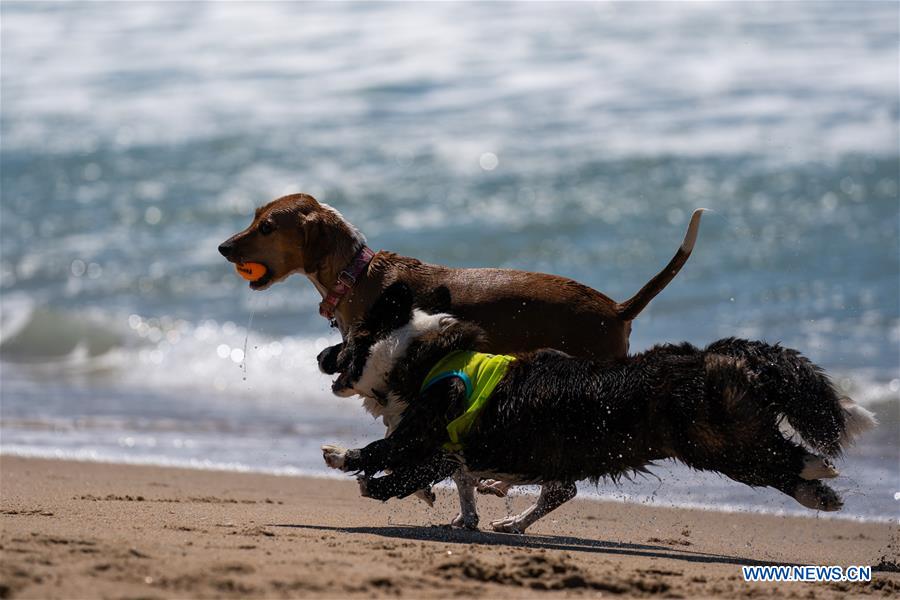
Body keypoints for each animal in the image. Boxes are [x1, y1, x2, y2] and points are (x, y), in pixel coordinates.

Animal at [324, 284, 880, 532]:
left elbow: (384, 454)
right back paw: (821, 493)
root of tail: (717, 353)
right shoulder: (448, 450)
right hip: (725, 442)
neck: (416, 353)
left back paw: (818, 472)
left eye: (346, 341)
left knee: (783, 457)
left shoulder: (431, 433)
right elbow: (415, 472)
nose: (317, 356)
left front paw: (345, 460)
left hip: (717, 441)